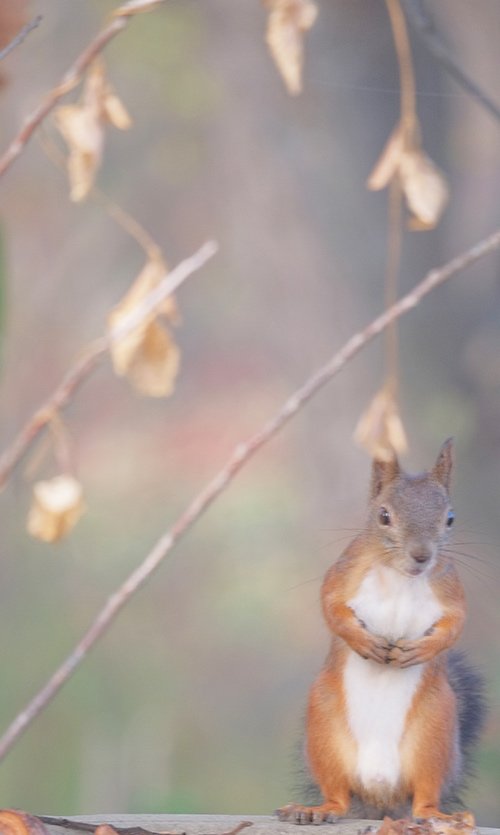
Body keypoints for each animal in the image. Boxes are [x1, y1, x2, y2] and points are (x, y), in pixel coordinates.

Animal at [278, 440, 484, 828]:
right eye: (383, 516)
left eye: (450, 518)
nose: (421, 556)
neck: (400, 575)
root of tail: (380, 797)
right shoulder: (345, 571)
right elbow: (331, 606)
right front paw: (363, 641)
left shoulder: (450, 587)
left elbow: (455, 625)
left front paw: (422, 650)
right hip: (324, 729)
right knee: (338, 794)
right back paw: (318, 810)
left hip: (435, 732)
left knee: (424, 796)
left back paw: (439, 816)